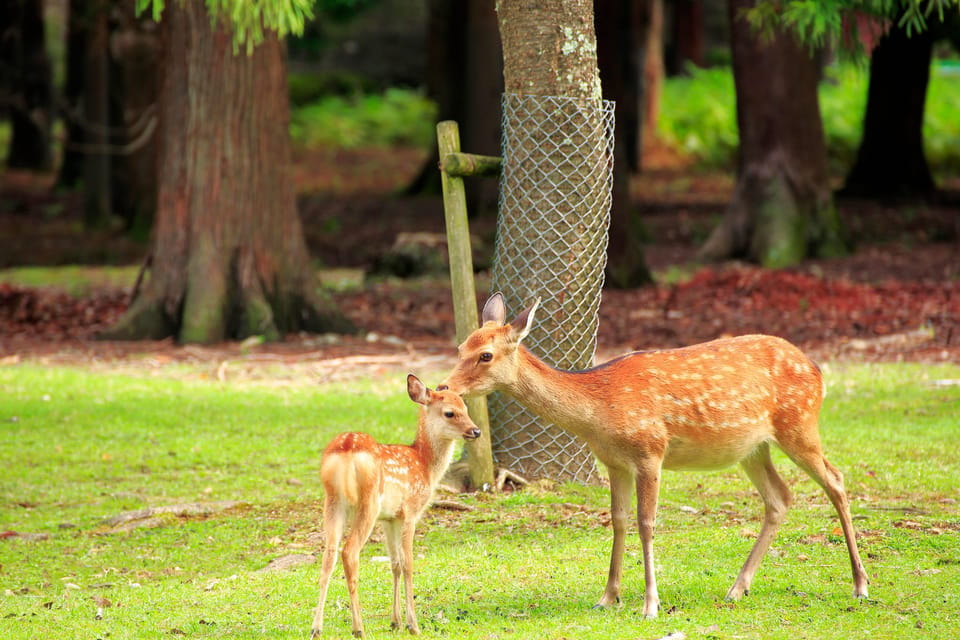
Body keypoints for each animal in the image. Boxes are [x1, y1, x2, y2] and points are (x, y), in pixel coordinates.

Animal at [311, 374, 481, 638]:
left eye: (465, 407)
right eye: (450, 413)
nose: (476, 431)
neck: (425, 465)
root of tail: (347, 448)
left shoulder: (389, 518)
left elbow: (395, 564)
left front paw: (395, 622)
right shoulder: (410, 511)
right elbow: (409, 563)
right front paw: (413, 624)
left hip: (333, 500)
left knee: (328, 556)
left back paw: (317, 628)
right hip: (368, 501)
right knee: (349, 552)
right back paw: (358, 628)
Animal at [438, 292, 869, 618]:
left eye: (486, 355)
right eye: (460, 347)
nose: (444, 386)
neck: (599, 409)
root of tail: (817, 369)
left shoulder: (650, 452)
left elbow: (646, 523)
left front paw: (650, 605)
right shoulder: (613, 461)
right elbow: (618, 521)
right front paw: (607, 597)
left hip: (799, 424)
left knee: (835, 480)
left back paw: (860, 584)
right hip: (752, 447)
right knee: (780, 497)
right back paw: (737, 588)